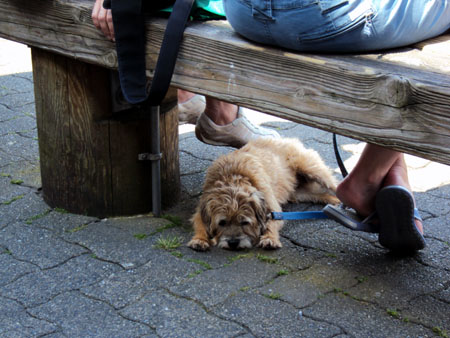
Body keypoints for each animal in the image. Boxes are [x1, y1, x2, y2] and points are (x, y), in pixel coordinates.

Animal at [186, 137, 338, 251]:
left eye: (245, 222)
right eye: (222, 223)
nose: (233, 243)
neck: (232, 177)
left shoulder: (273, 208)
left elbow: (271, 223)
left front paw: (270, 238)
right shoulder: (202, 208)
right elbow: (200, 222)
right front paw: (199, 239)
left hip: (312, 169)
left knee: (334, 185)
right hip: (300, 193)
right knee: (320, 195)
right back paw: (334, 204)